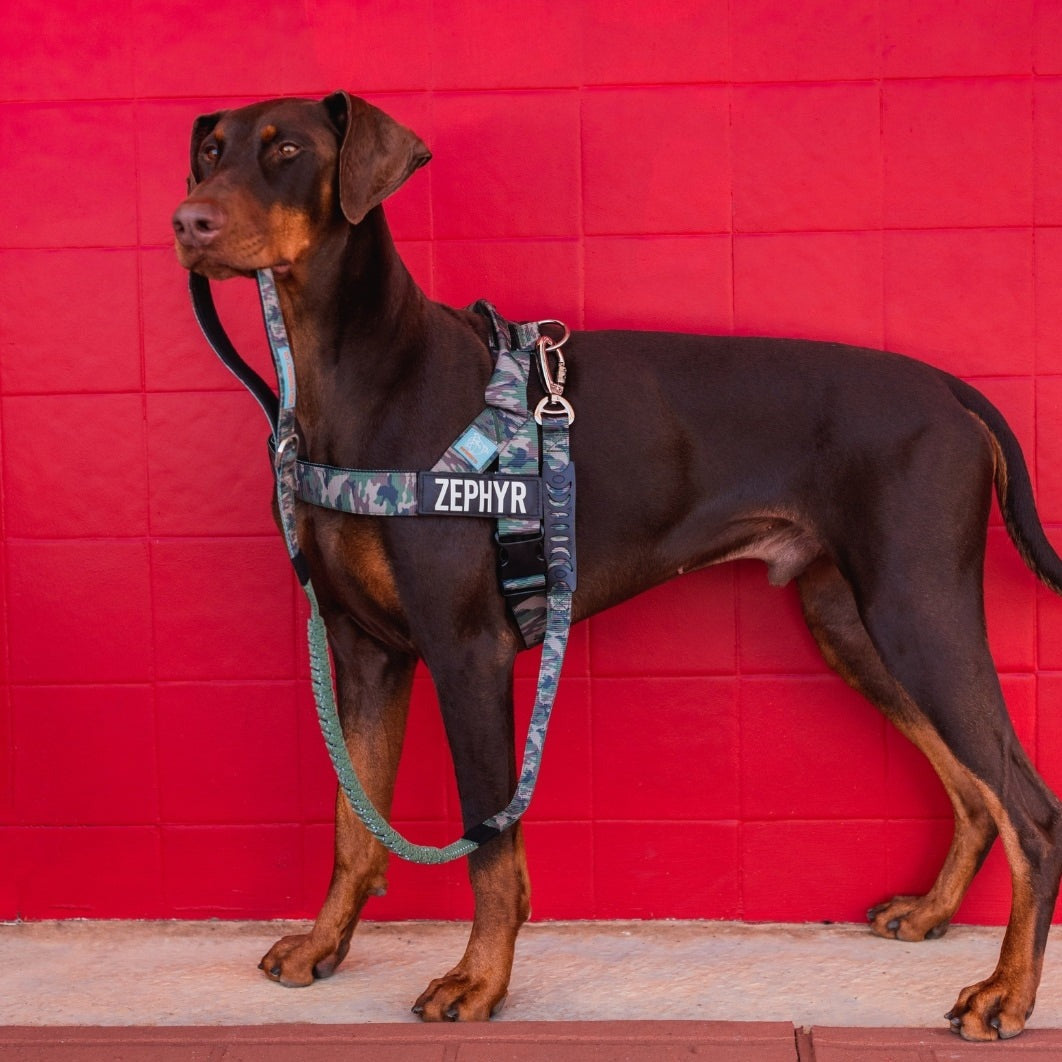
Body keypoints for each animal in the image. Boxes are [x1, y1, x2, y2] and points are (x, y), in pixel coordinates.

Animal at [172, 91, 1062, 1036]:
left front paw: (478, 982)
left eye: (288, 151)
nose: (188, 222)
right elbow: (353, 821)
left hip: (917, 607)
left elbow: (489, 840)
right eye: (210, 152)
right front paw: (322, 945)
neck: (361, 375)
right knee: (975, 791)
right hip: (852, 625)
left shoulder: (467, 650)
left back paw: (1007, 992)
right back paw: (931, 913)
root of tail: (950, 392)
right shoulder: (364, 651)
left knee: (1030, 809)